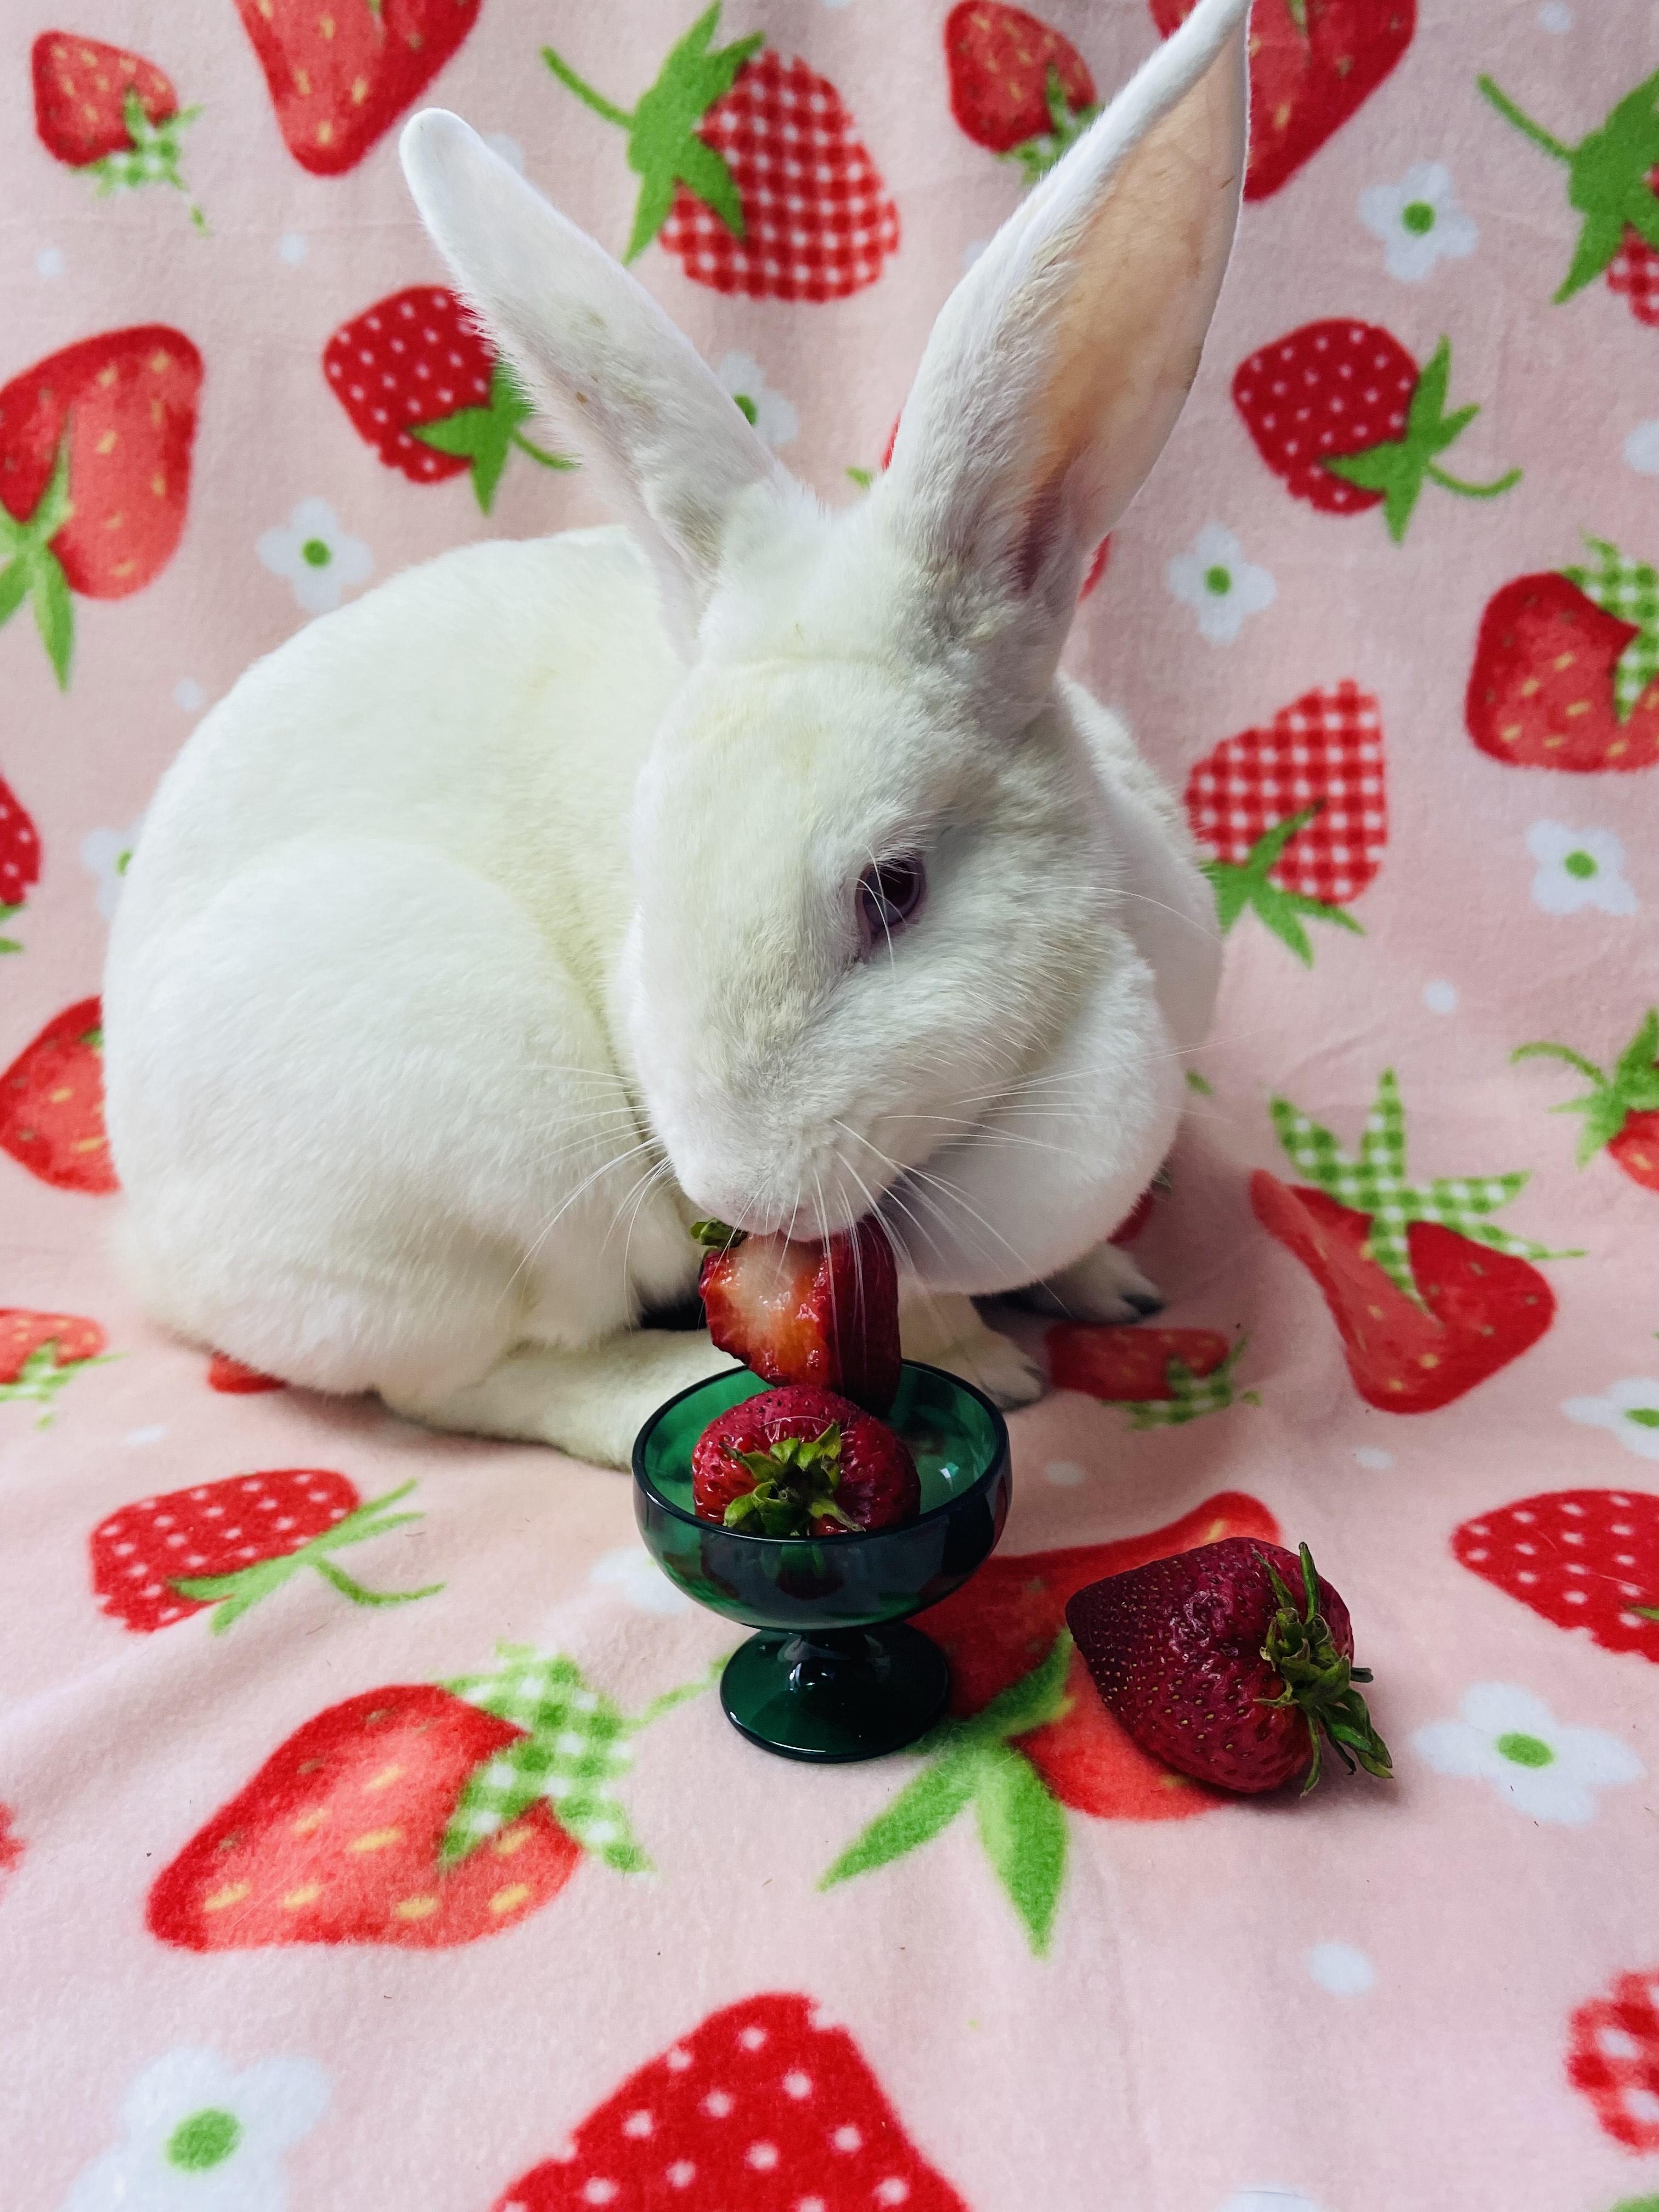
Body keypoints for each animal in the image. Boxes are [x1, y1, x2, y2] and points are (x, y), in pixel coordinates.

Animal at [101, 0, 1246, 1470]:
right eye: (650, 871)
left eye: (893, 891)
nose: (739, 1187)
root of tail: (160, 1259)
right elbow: (923, 1318)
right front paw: (1001, 1363)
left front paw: (1114, 1286)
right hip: (480, 1151)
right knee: (469, 1381)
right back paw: (650, 1380)